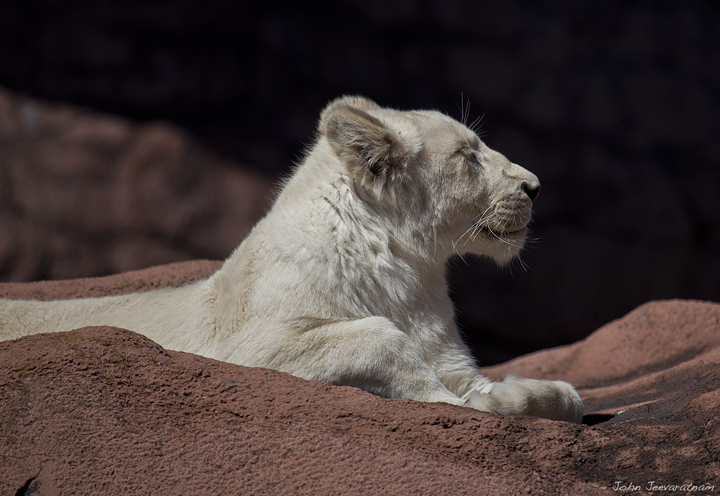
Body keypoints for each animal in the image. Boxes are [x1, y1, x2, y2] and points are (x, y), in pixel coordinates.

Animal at [0, 96, 583, 422]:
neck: (405, 272)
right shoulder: (240, 349)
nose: (534, 186)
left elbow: (558, 396)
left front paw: (522, 394)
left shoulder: (446, 350)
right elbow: (382, 339)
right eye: (468, 154)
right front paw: (467, 406)